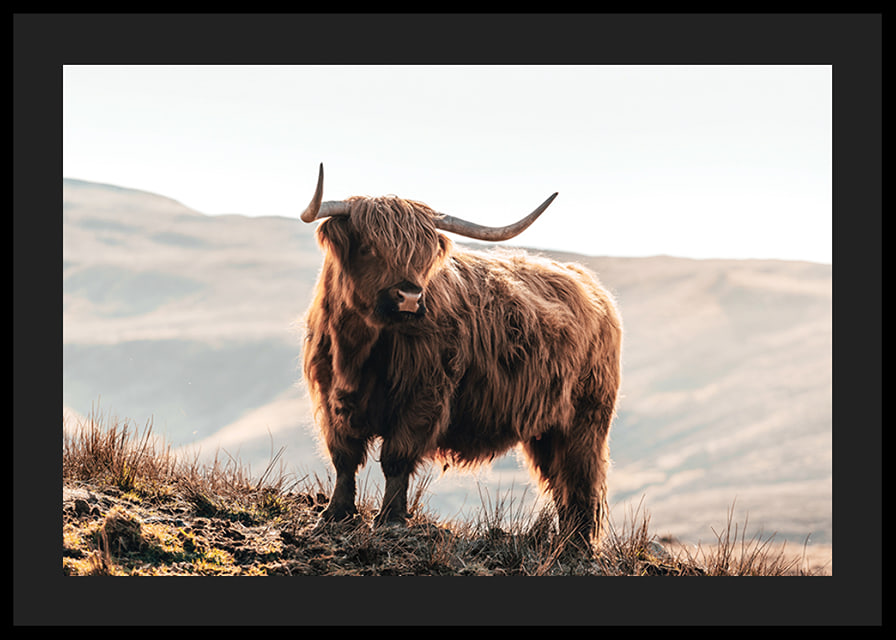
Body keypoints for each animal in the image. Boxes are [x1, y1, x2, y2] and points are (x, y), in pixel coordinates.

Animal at [300, 164, 622, 550]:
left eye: (423, 256)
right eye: (368, 248)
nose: (410, 297)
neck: (359, 349)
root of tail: (590, 285)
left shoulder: (424, 396)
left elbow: (396, 458)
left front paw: (391, 519)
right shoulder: (330, 396)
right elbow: (344, 457)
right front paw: (335, 514)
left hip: (585, 420)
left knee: (580, 478)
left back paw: (576, 546)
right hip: (547, 429)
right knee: (560, 480)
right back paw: (565, 542)